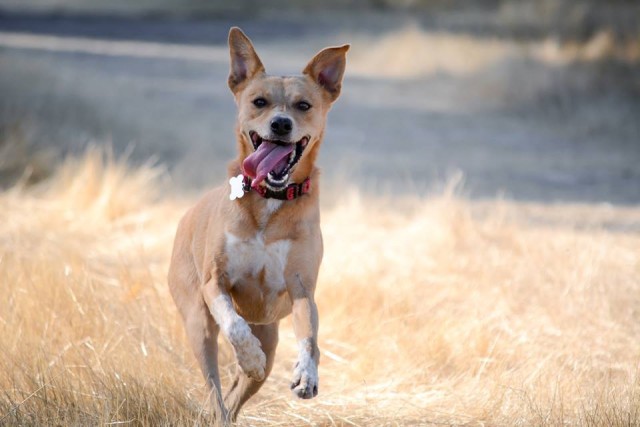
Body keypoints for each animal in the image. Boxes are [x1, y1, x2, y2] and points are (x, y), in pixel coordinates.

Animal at [168, 27, 348, 424]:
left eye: (303, 106)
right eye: (259, 101)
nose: (281, 124)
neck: (271, 197)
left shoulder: (301, 289)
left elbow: (310, 339)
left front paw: (306, 376)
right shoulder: (215, 282)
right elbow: (233, 323)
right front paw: (248, 355)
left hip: (270, 334)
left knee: (237, 392)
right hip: (197, 321)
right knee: (215, 385)